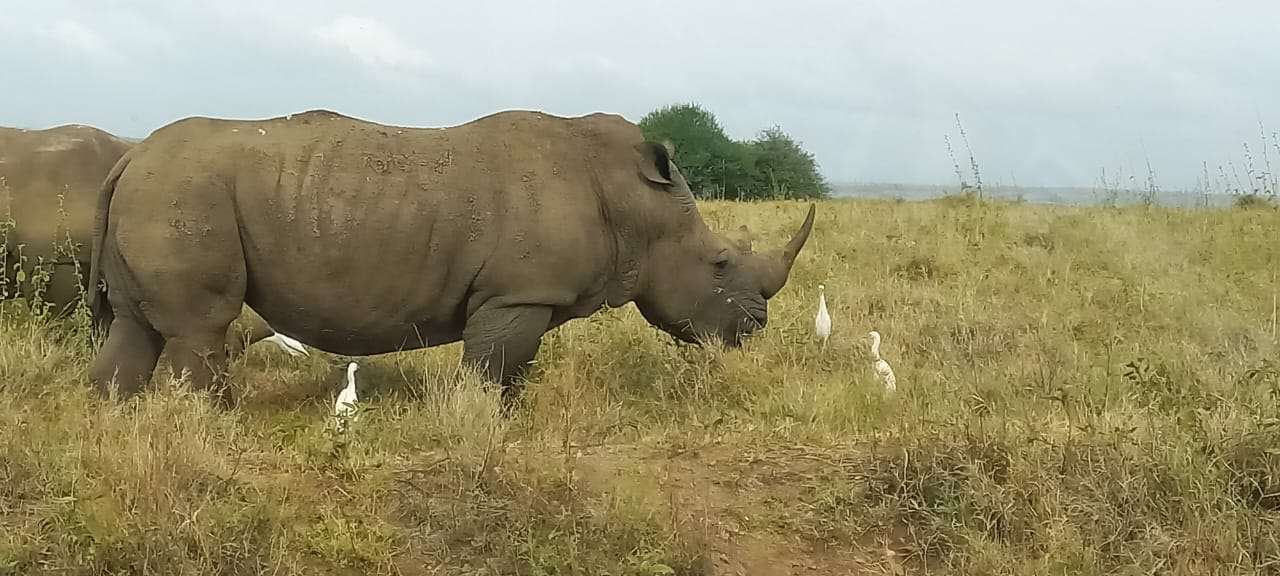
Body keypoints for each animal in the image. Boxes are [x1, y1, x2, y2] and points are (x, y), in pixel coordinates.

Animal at [87, 109, 816, 407]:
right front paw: (479, 424)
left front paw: (508, 422)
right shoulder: (518, 293)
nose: (754, 327)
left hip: (158, 190)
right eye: (719, 263)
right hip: (183, 192)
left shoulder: (526, 296)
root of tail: (128, 156)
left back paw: (113, 420)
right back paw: (212, 425)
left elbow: (512, 371)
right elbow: (490, 369)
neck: (634, 201)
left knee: (133, 327)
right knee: (198, 329)